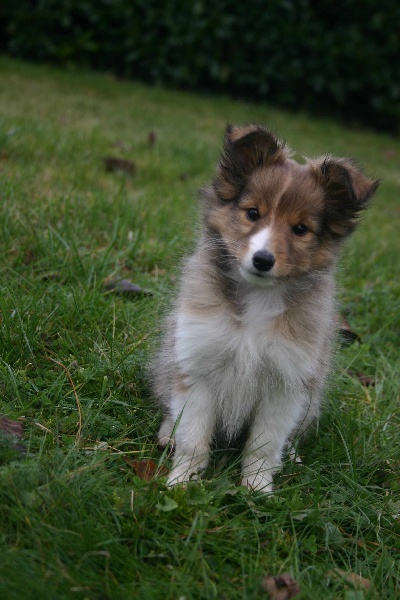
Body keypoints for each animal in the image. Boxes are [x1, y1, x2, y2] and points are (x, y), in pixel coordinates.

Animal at [152, 125, 378, 492]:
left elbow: (264, 443)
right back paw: (167, 434)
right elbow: (193, 437)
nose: (262, 259)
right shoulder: (198, 366)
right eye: (253, 213)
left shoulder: (286, 383)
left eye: (300, 229)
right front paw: (182, 482)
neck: (258, 299)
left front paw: (257, 489)